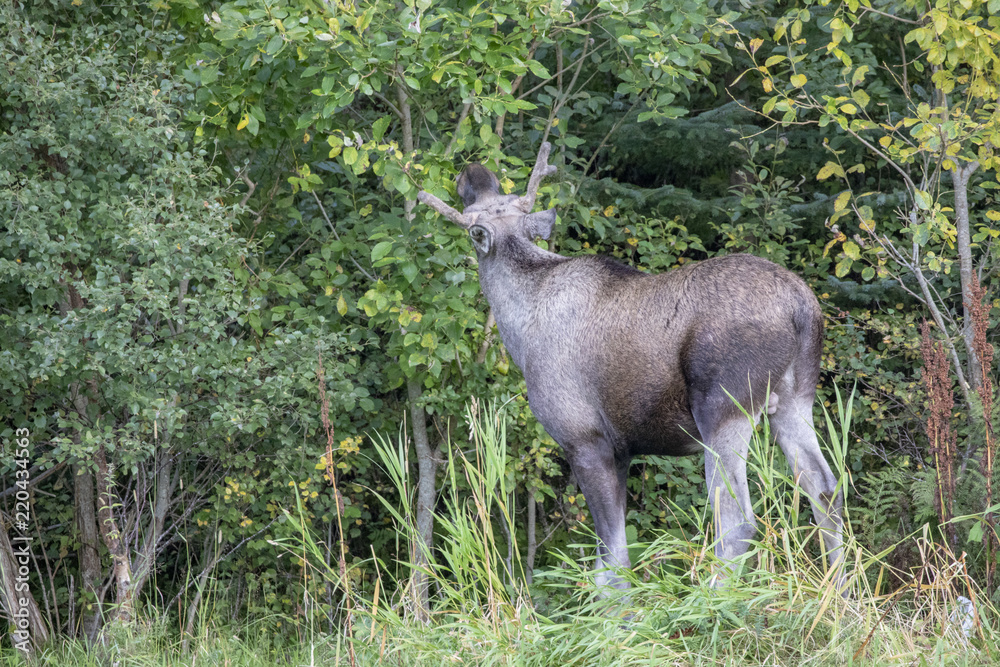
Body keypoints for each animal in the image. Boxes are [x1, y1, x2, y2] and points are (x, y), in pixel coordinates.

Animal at [415, 142, 845, 593]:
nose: (473, 173)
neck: (521, 323)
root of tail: (802, 307)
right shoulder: (623, 450)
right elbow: (609, 562)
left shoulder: (585, 439)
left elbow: (613, 567)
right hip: (795, 400)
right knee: (826, 489)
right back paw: (838, 593)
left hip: (724, 408)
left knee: (738, 521)